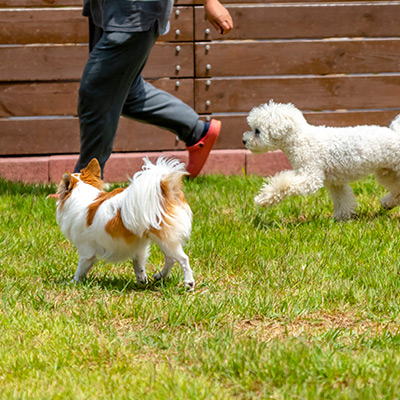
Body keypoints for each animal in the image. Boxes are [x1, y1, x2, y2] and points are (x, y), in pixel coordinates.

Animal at [55, 157, 195, 290]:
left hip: (165, 239)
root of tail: (166, 190)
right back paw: (160, 276)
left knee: (183, 259)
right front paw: (141, 281)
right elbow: (138, 265)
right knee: (171, 259)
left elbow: (80, 270)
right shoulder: (138, 247)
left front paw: (73, 282)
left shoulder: (86, 251)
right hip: (164, 241)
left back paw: (189, 283)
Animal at [242, 99, 400, 219]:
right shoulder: (335, 182)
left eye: (257, 131)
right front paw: (342, 218)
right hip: (387, 173)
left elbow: (283, 184)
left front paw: (264, 198)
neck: (299, 139)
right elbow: (342, 199)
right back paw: (387, 203)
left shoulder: (311, 176)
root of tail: (395, 134)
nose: (244, 140)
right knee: (397, 191)